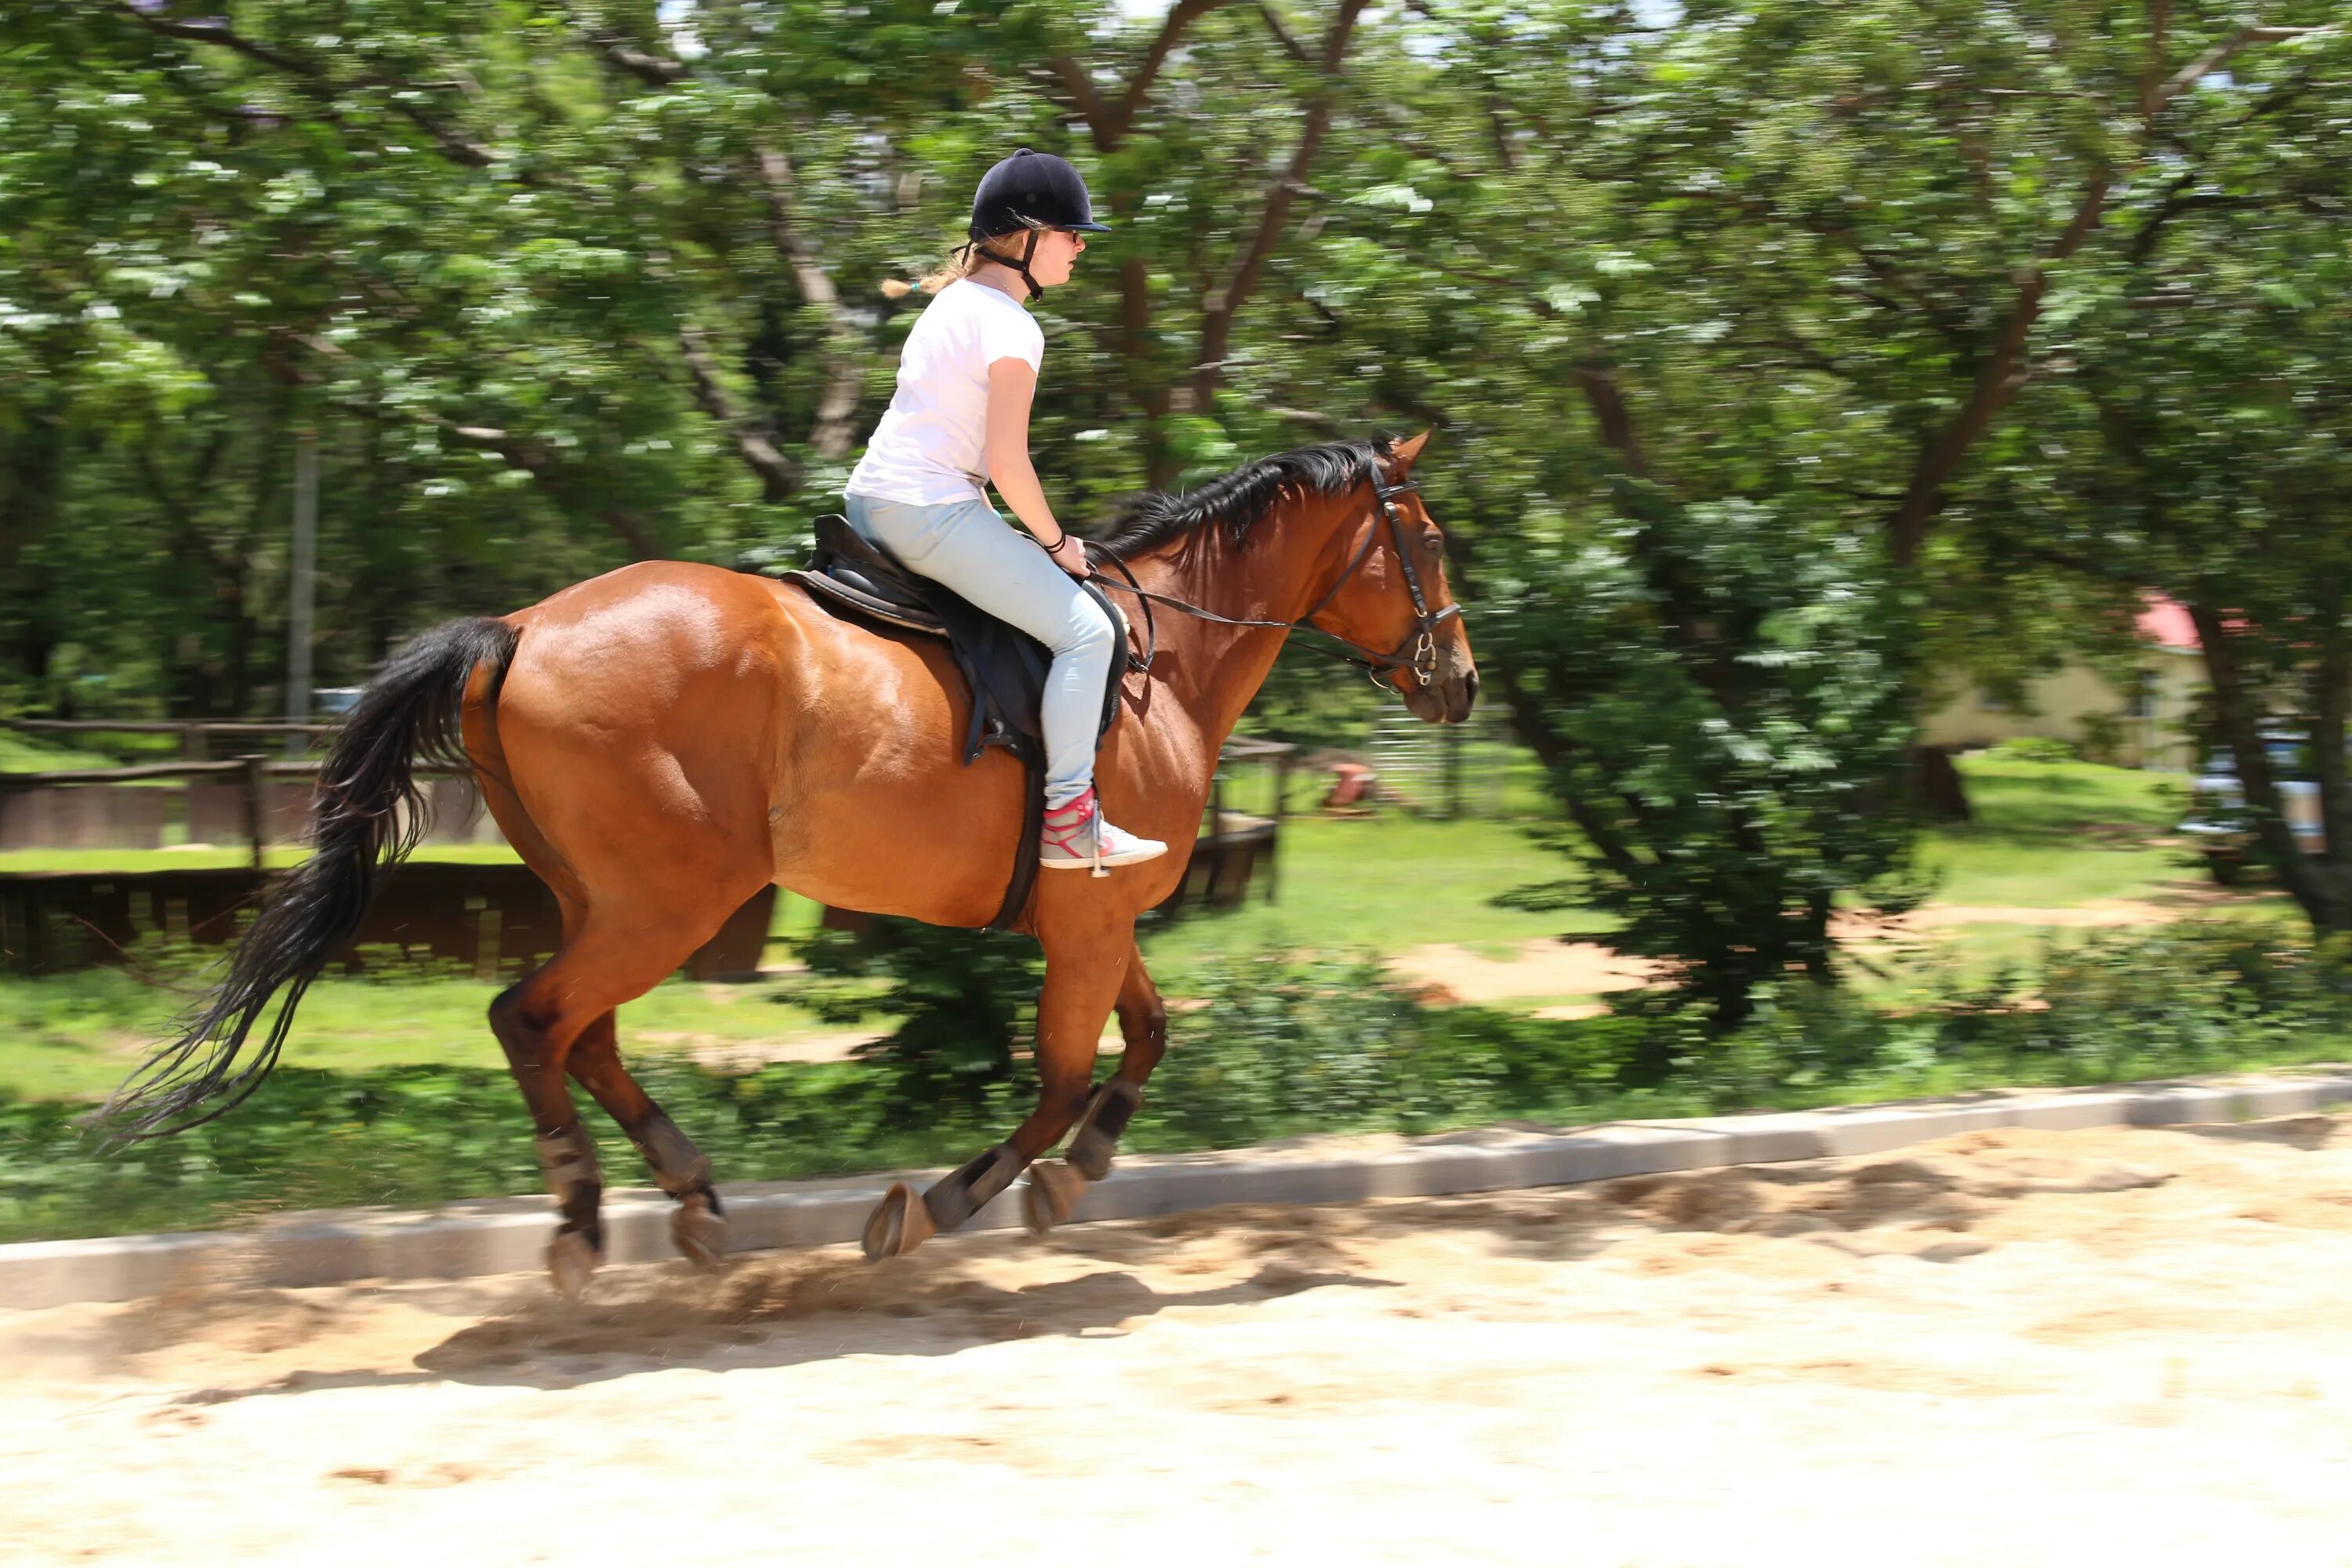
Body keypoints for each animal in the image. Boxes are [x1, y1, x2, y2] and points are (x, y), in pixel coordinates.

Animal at [111, 432, 1477, 1298]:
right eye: (1428, 538)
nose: (1459, 681)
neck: (1162, 662)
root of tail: (521, 628)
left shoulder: (1099, 919)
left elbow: (1142, 1042)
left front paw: (1075, 1177)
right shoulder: (1089, 923)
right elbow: (1058, 1082)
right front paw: (943, 1207)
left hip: (610, 896)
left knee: (581, 1035)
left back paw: (692, 1198)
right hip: (670, 899)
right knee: (535, 1019)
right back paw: (586, 1218)